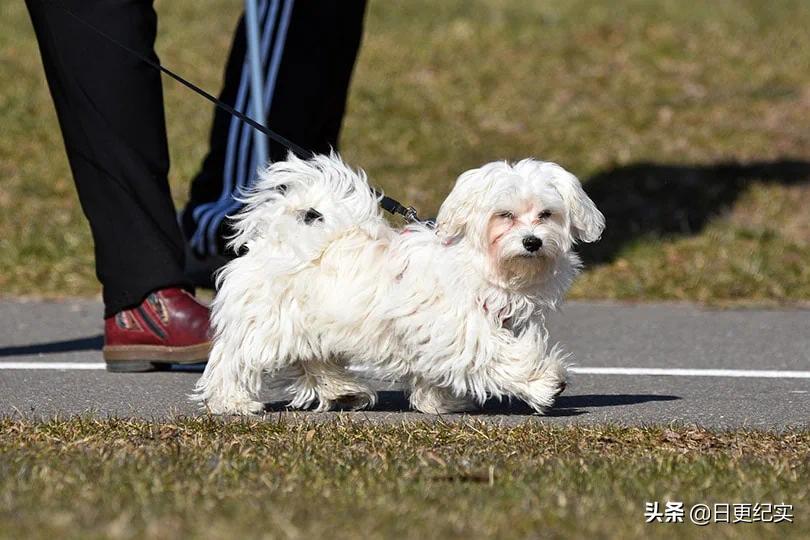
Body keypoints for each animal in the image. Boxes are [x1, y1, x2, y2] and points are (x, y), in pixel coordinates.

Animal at [193, 152, 604, 414]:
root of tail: (278, 236)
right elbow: (497, 355)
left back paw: (343, 392)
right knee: (234, 359)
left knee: (314, 360)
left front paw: (438, 402)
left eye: (546, 214)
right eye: (504, 215)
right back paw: (231, 402)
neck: (480, 263)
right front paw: (546, 382)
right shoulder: (462, 329)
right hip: (265, 323)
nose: (532, 242)